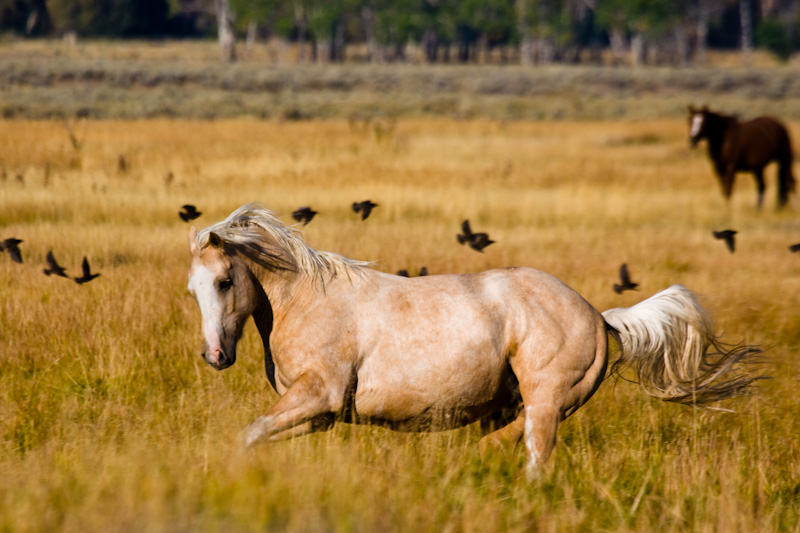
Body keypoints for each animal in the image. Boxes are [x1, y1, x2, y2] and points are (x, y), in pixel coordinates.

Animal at [188, 203, 764, 474]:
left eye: (224, 281)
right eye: (193, 288)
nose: (214, 356)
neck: (309, 300)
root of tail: (599, 316)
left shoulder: (318, 396)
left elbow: (250, 433)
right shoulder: (319, 414)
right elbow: (258, 438)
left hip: (547, 402)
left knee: (535, 456)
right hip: (512, 404)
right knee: (504, 442)